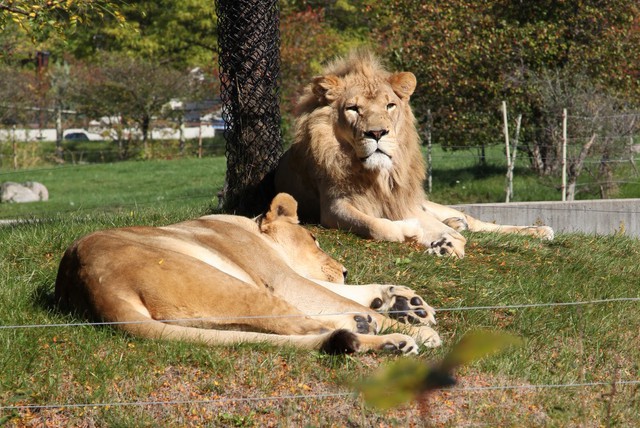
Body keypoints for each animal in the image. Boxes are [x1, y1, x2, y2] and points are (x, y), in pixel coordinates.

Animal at [56, 194, 440, 354]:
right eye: (314, 237)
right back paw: (389, 335)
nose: (344, 270)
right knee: (305, 325)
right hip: (228, 281)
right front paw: (418, 326)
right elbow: (332, 295)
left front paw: (406, 301)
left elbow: (346, 292)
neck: (249, 226)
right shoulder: (282, 278)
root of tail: (91, 288)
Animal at [272, 50, 552, 258]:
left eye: (389, 105)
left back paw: (539, 231)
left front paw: (448, 241)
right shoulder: (334, 206)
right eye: (353, 109)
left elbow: (451, 233)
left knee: (477, 222)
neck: (377, 175)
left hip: (425, 202)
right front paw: (419, 233)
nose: (377, 133)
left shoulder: (403, 202)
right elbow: (378, 225)